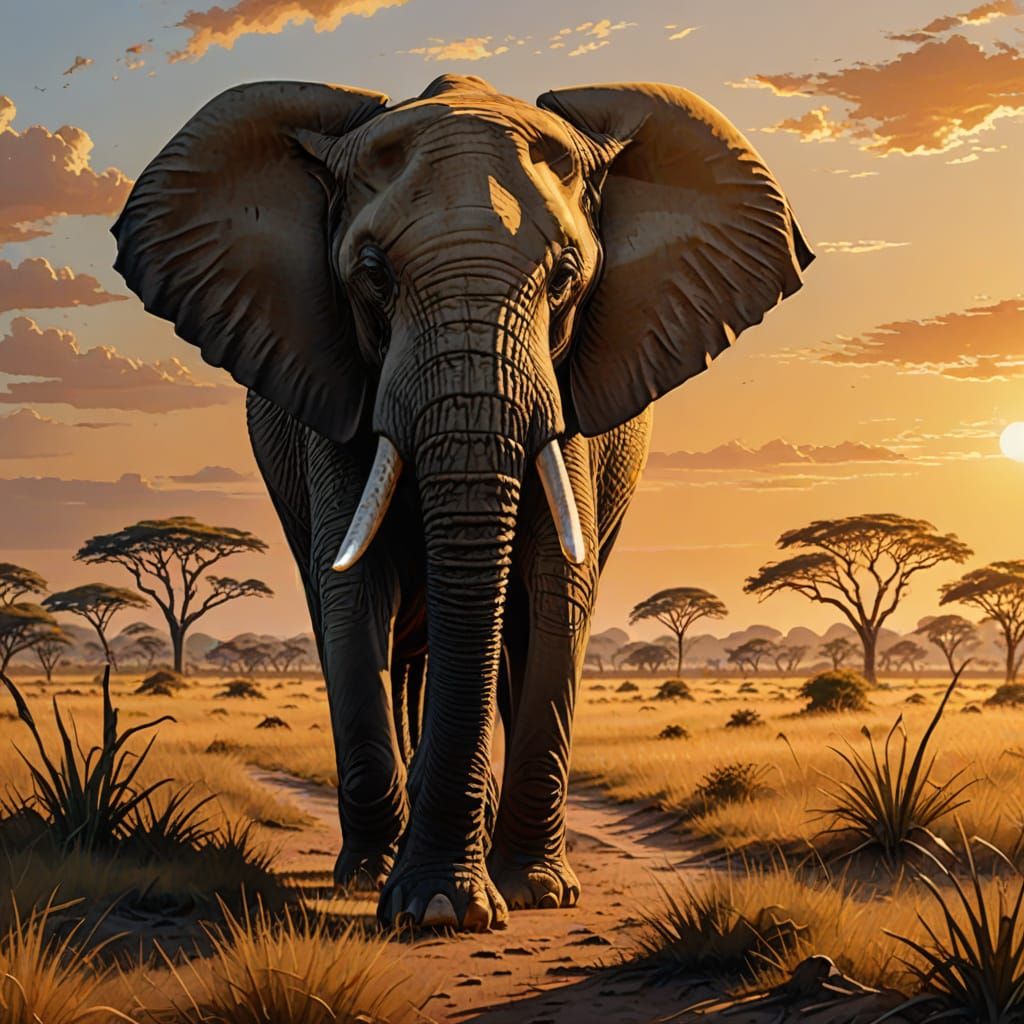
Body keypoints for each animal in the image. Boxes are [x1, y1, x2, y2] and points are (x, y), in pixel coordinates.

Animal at [111, 73, 812, 932]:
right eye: (372, 273)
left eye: (566, 277)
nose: (446, 904)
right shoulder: (334, 391)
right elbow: (354, 594)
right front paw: (418, 901)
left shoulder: (570, 402)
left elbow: (555, 591)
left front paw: (520, 895)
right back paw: (371, 865)